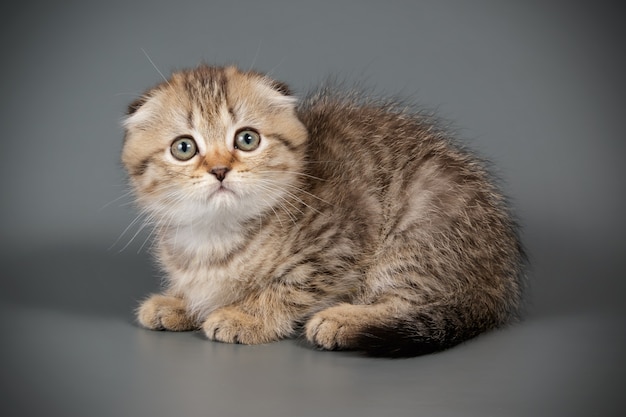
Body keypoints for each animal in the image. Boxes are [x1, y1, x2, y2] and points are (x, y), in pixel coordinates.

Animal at [120, 63, 520, 356]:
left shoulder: (341, 242)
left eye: (247, 139)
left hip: (420, 223)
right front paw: (180, 301)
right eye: (184, 148)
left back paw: (344, 320)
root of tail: (498, 282)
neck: (217, 233)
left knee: (410, 299)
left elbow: (289, 287)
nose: (219, 170)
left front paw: (246, 314)